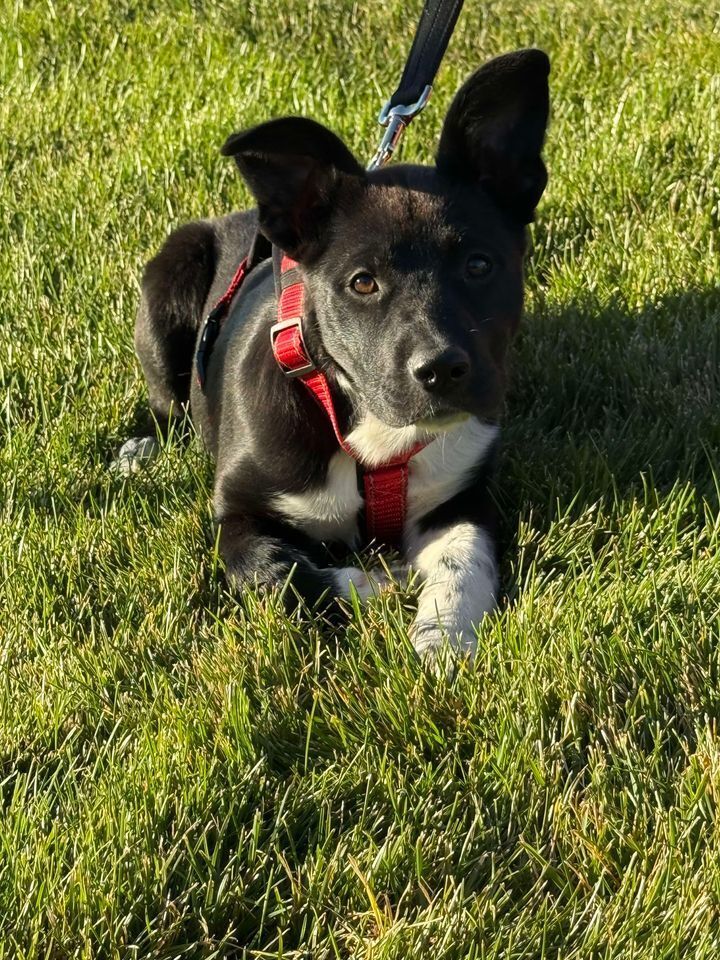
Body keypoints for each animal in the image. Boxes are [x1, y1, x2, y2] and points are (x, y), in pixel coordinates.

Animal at [125, 48, 552, 656]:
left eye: (478, 265)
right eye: (362, 282)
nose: (442, 370)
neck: (372, 429)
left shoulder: (465, 498)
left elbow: (465, 562)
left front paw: (445, 636)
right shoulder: (237, 517)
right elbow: (283, 573)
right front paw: (384, 580)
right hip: (168, 282)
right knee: (169, 406)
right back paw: (140, 451)